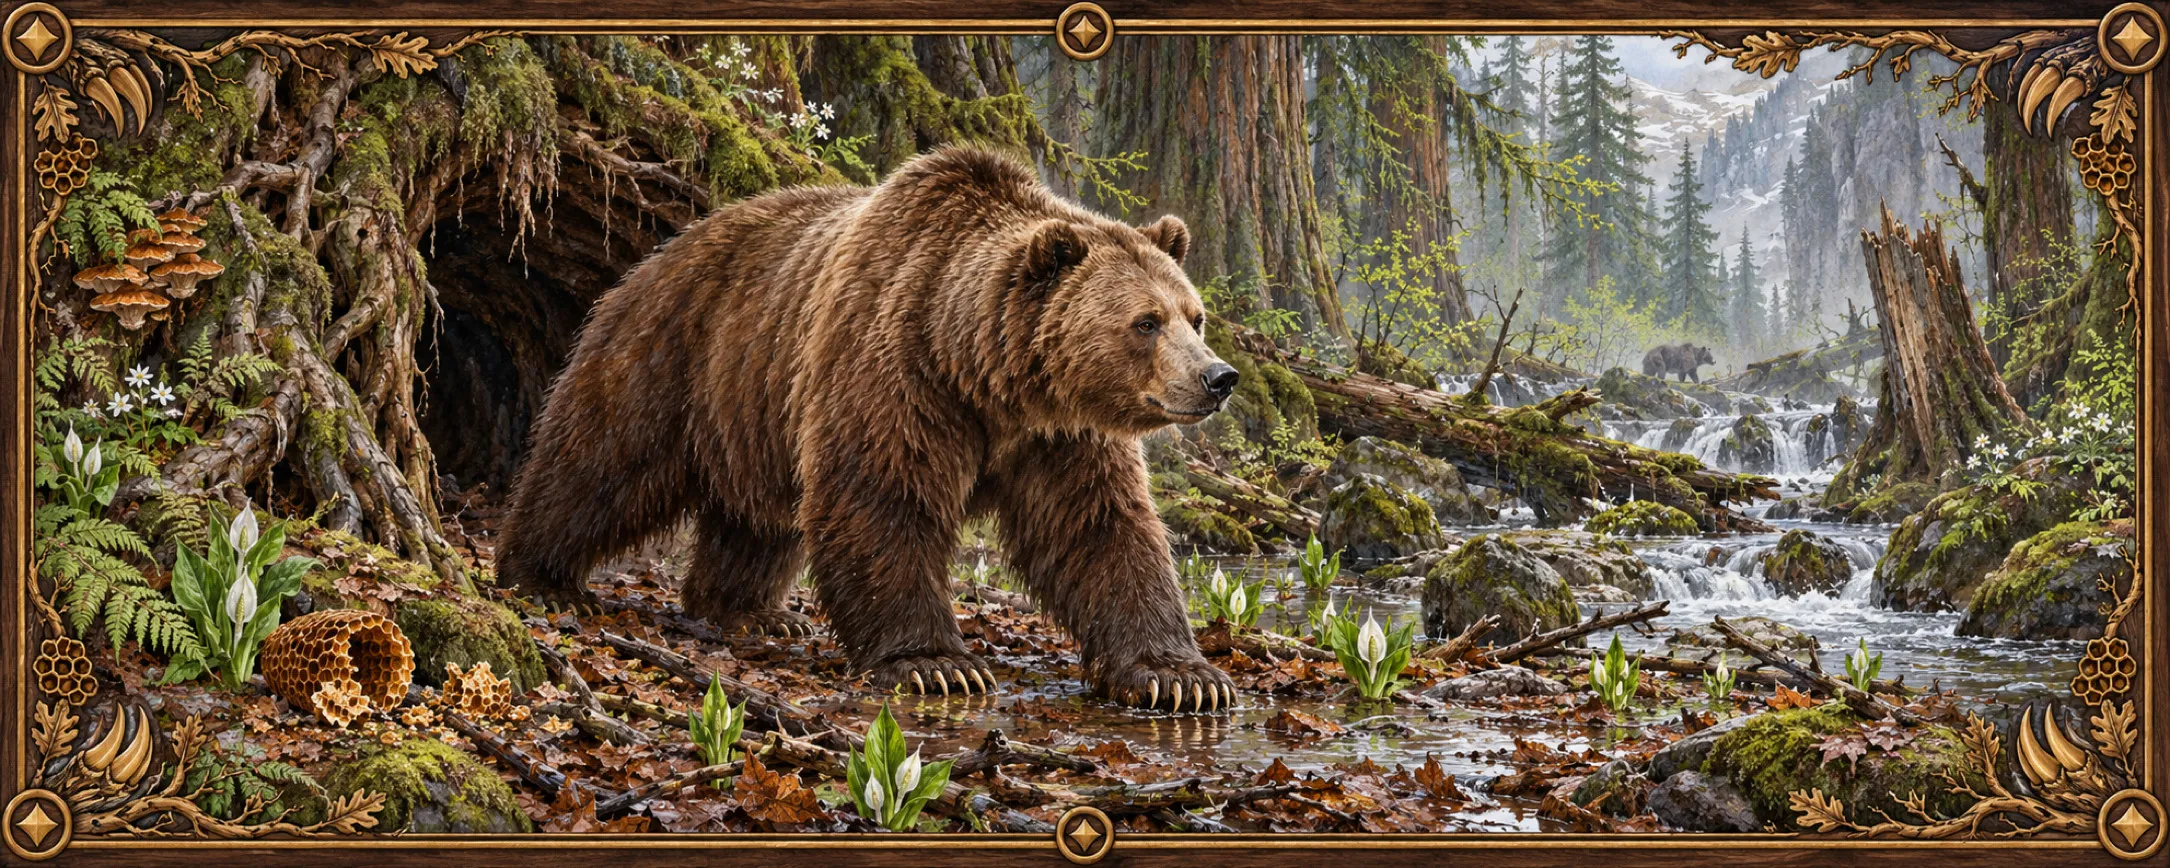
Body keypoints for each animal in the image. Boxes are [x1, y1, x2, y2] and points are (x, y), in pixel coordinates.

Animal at [496, 147, 1241, 711]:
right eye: (1145, 321)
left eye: (1194, 315)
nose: (1219, 377)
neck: (980, 371)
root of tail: (661, 248)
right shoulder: (895, 369)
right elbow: (881, 496)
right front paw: (937, 663)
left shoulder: (1061, 434)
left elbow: (1101, 529)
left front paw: (1181, 677)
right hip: (674, 352)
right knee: (599, 463)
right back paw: (538, 575)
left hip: (756, 413)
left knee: (760, 519)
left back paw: (754, 610)